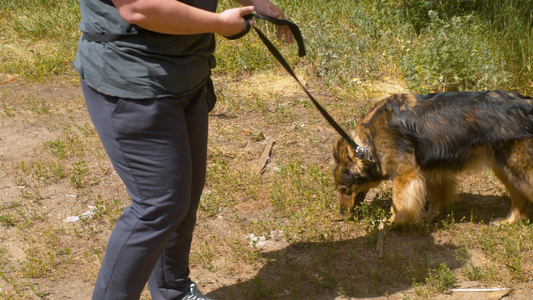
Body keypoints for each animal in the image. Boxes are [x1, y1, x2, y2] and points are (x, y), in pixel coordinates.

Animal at [332, 90, 532, 224]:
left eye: (345, 189)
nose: (340, 212)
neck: (368, 145)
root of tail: (527, 105)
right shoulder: (432, 170)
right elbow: (436, 197)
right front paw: (429, 216)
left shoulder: (406, 175)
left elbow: (398, 203)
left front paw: (391, 223)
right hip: (504, 168)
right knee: (519, 198)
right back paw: (509, 221)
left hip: (516, 167)